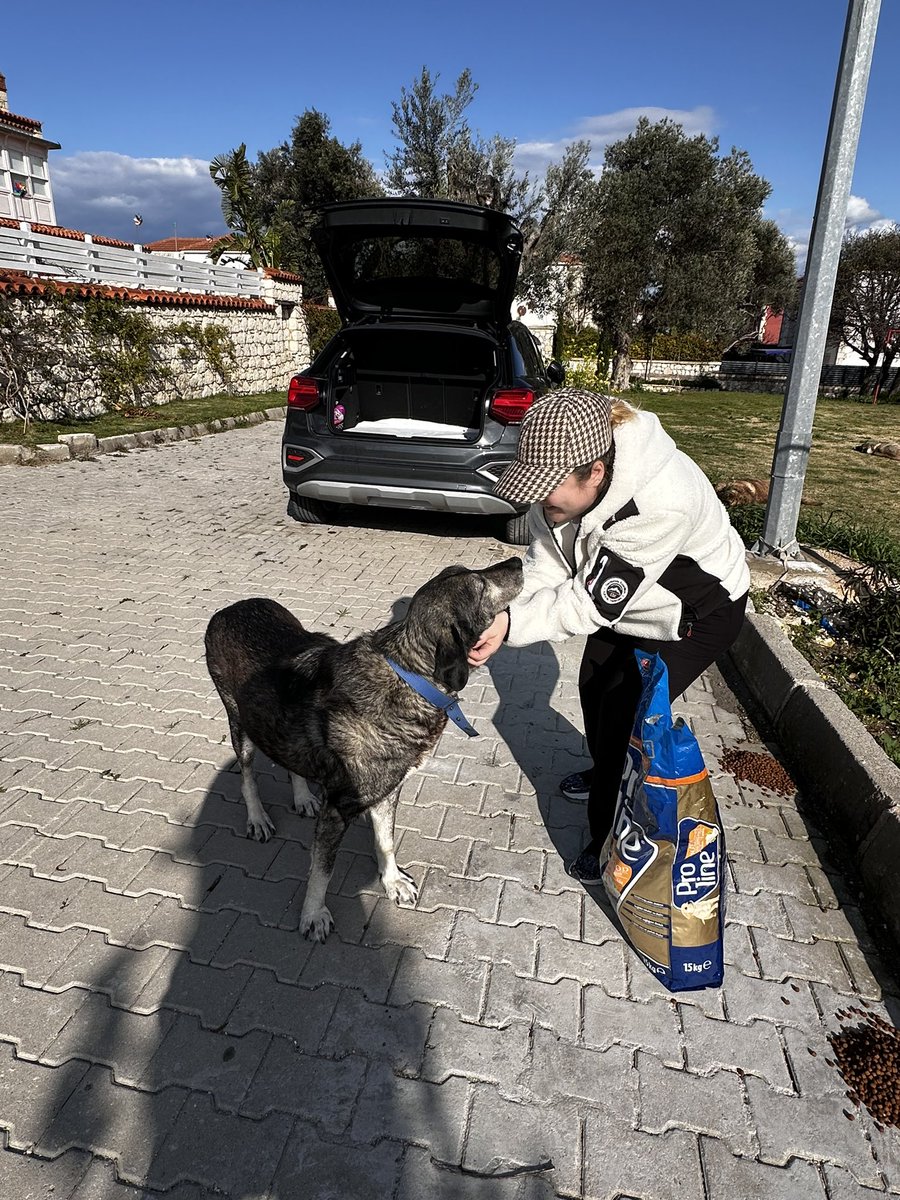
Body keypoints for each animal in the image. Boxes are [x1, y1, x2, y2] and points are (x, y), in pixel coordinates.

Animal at [205, 556, 525, 940]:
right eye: (480, 586)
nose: (518, 561)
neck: (408, 675)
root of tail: (230, 608)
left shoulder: (387, 792)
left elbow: (385, 839)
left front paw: (392, 880)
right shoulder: (337, 810)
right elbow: (322, 871)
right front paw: (313, 914)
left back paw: (302, 797)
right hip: (240, 722)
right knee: (248, 775)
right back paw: (257, 817)